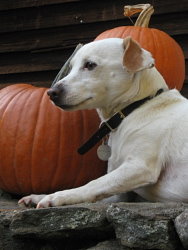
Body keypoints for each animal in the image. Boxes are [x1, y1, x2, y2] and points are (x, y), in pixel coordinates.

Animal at [18, 36, 188, 209]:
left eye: (90, 65)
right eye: (71, 67)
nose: (51, 93)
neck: (135, 108)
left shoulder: (139, 167)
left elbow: (92, 184)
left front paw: (57, 196)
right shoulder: (120, 194)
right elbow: (97, 191)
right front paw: (38, 196)